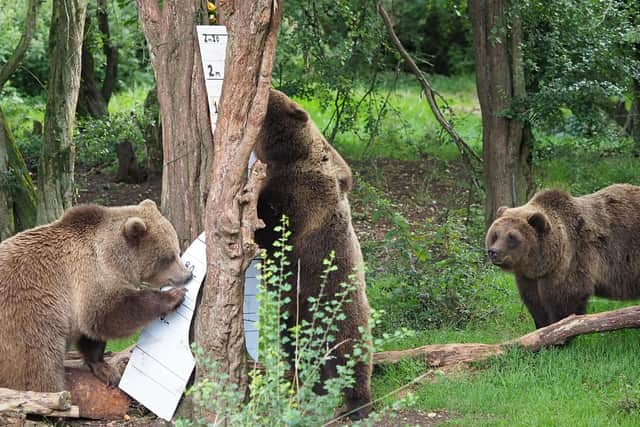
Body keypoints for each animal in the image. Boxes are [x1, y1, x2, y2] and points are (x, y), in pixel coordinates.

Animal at [0, 199, 191, 392]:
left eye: (177, 250)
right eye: (167, 257)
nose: (187, 276)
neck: (114, 260)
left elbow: (90, 334)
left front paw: (105, 369)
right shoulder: (89, 275)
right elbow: (110, 314)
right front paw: (173, 296)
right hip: (28, 320)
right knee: (37, 367)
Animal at [254, 89, 372, 419]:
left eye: (268, 101)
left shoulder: (301, 194)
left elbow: (273, 228)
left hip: (338, 304)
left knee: (351, 351)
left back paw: (357, 403)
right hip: (296, 317)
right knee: (298, 351)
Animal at [485, 183, 640, 329]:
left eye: (512, 237)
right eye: (495, 235)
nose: (493, 252)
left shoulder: (572, 261)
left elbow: (565, 300)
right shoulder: (529, 278)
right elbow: (535, 304)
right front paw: (542, 327)